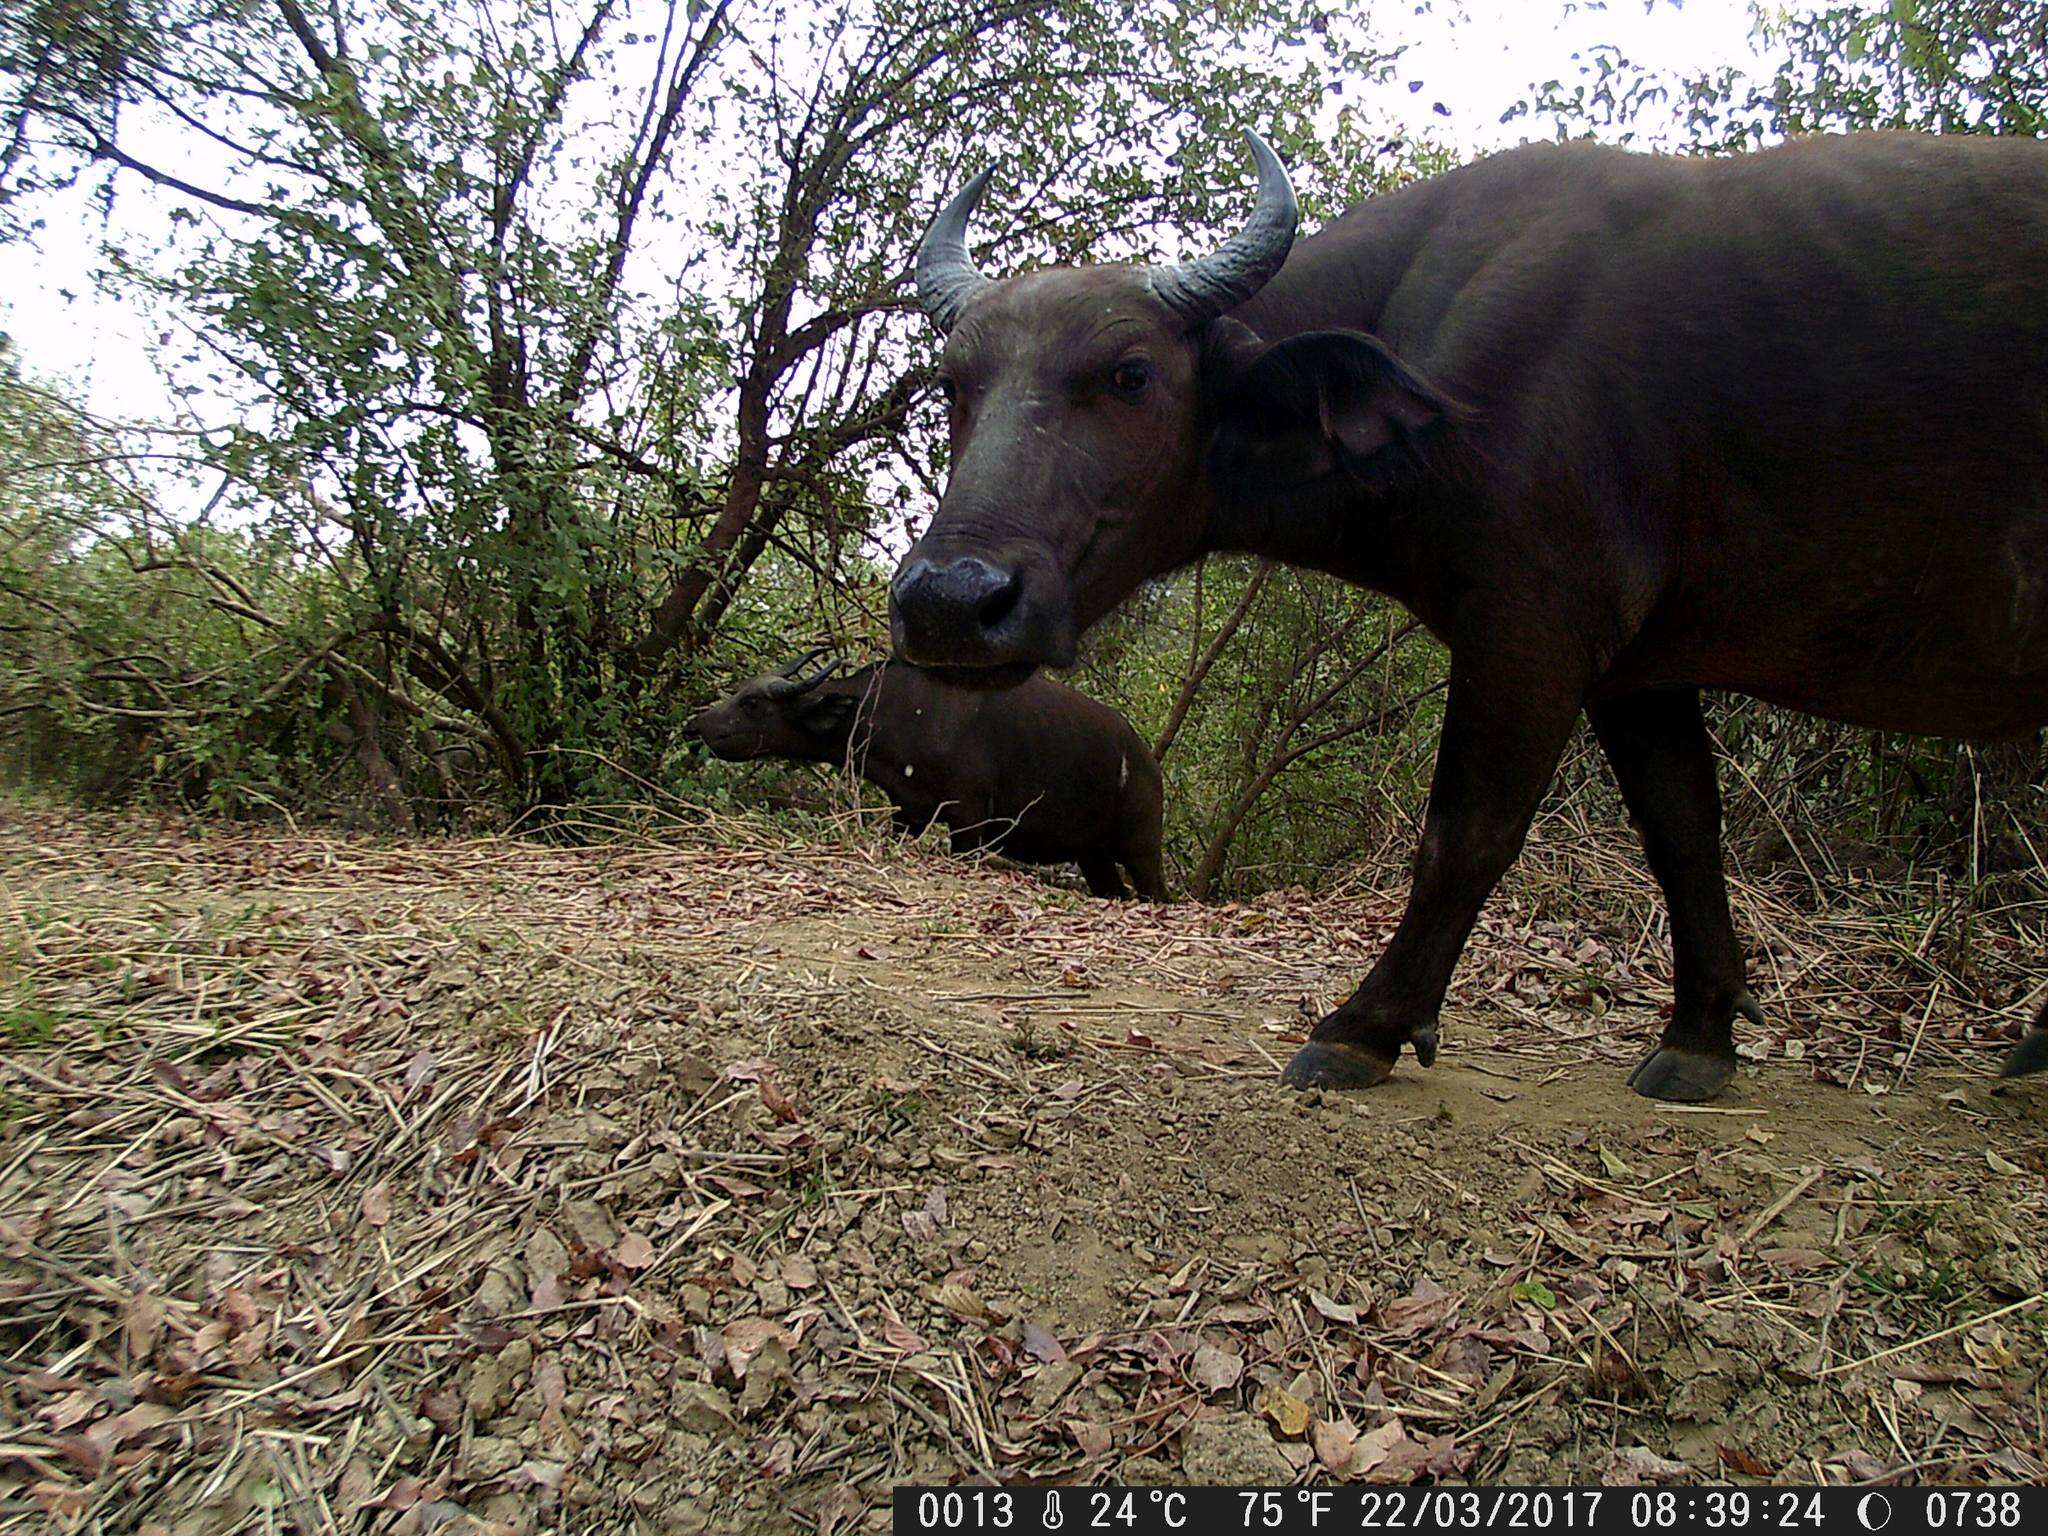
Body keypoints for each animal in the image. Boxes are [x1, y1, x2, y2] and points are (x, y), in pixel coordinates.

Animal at [688, 651, 1171, 901]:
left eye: (753, 703)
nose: (700, 724)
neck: (902, 709)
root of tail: (1146, 760)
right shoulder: (909, 813)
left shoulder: (969, 825)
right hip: (1094, 858)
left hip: (1142, 850)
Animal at [888, 126, 2048, 1097]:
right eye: (953, 384)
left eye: (1130, 373)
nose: (949, 603)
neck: (1432, 348)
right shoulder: (1638, 671)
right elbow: (1682, 829)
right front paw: (1698, 1036)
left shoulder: (1533, 624)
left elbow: (1467, 831)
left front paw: (1364, 1027)